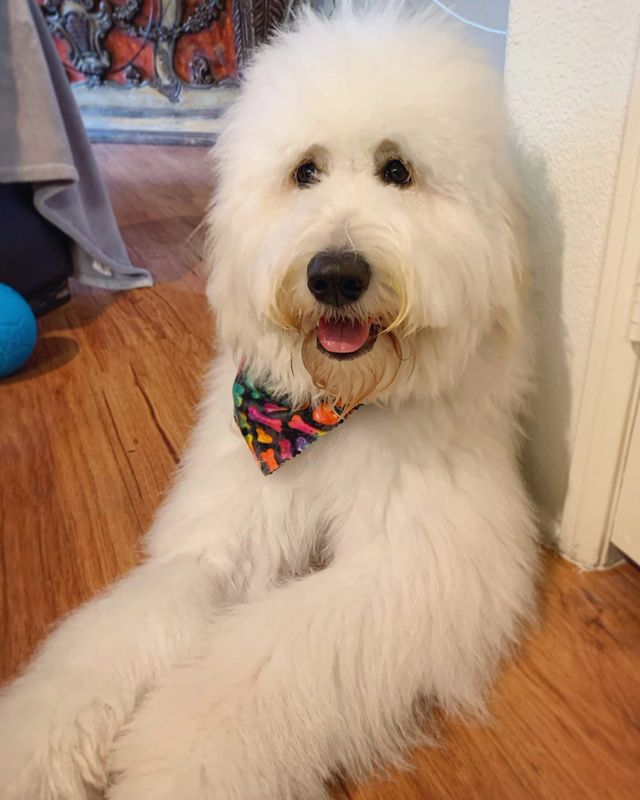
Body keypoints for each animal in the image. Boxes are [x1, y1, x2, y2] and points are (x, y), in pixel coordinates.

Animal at [0, 3, 538, 798]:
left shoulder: (410, 566)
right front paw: (37, 744)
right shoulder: (226, 533)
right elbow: (124, 625)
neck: (330, 414)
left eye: (398, 170)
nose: (335, 274)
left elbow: (260, 664)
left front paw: (170, 765)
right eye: (304, 170)